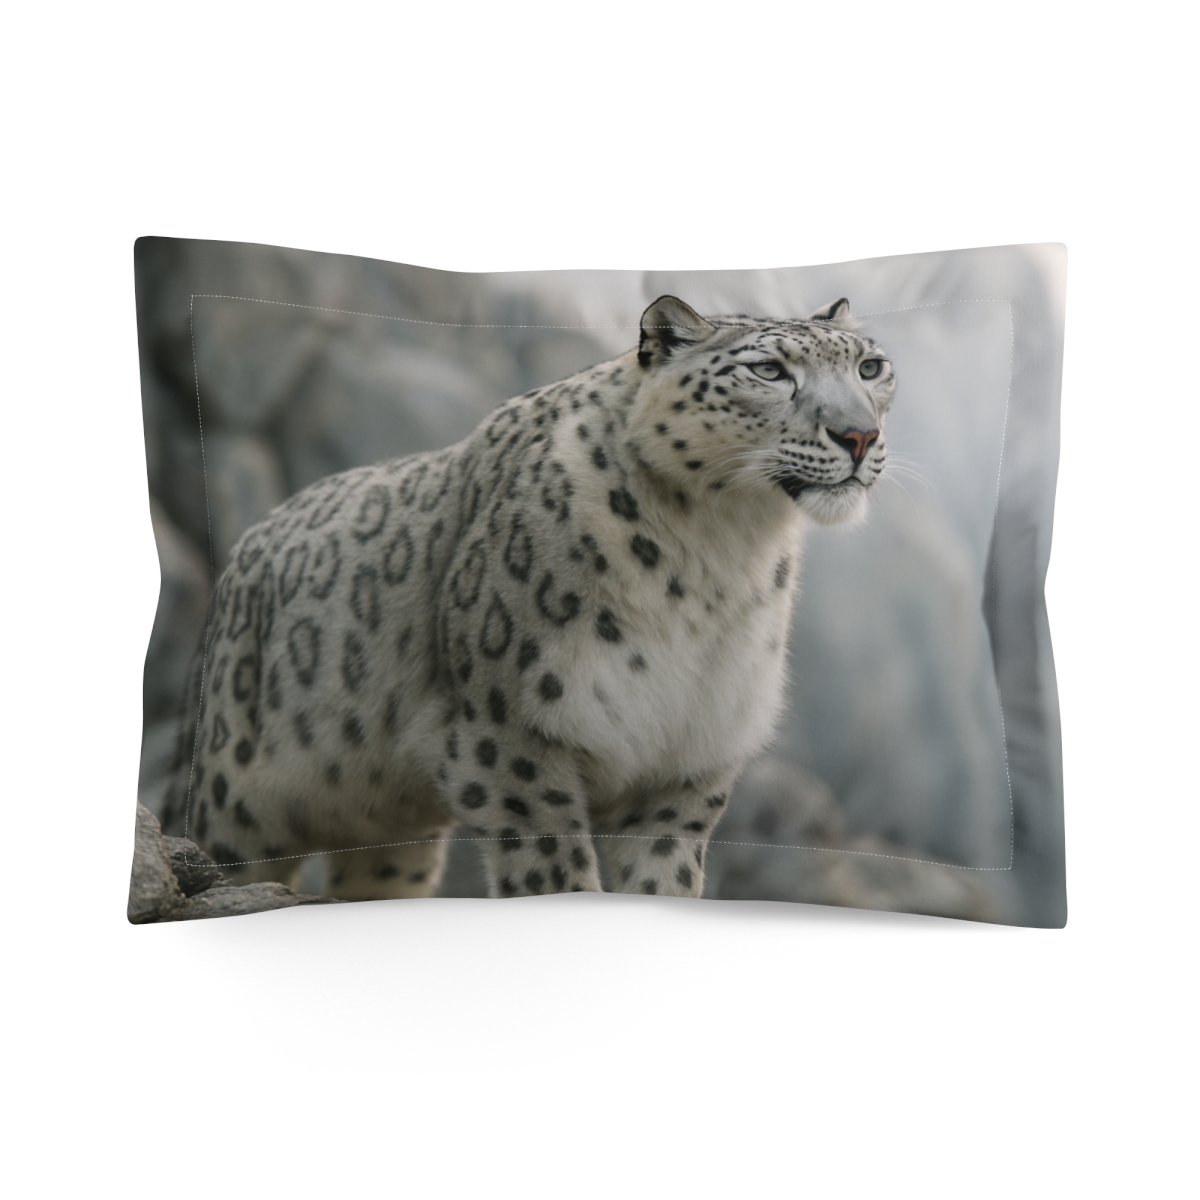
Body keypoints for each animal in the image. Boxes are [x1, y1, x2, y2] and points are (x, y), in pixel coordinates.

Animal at [164, 294, 895, 900]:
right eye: (769, 370)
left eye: (871, 367)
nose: (858, 435)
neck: (721, 558)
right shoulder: (512, 741)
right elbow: (556, 872)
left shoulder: (686, 767)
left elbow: (664, 882)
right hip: (235, 799)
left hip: (393, 837)